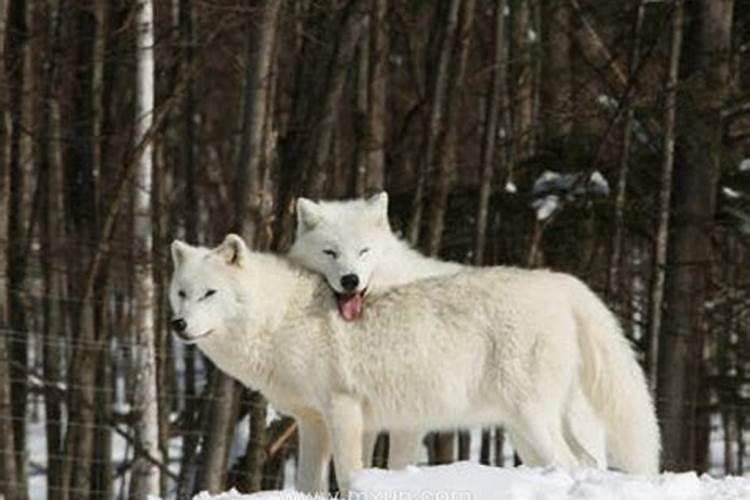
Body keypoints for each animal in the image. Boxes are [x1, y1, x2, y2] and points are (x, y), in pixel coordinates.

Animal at [169, 234, 656, 492]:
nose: (178, 324)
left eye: (210, 294)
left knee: (575, 467)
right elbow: (310, 483)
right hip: (525, 428)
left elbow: (349, 475)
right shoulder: (312, 421)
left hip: (532, 420)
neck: (279, 318)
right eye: (181, 292)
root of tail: (564, 283)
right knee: (585, 464)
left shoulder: (345, 412)